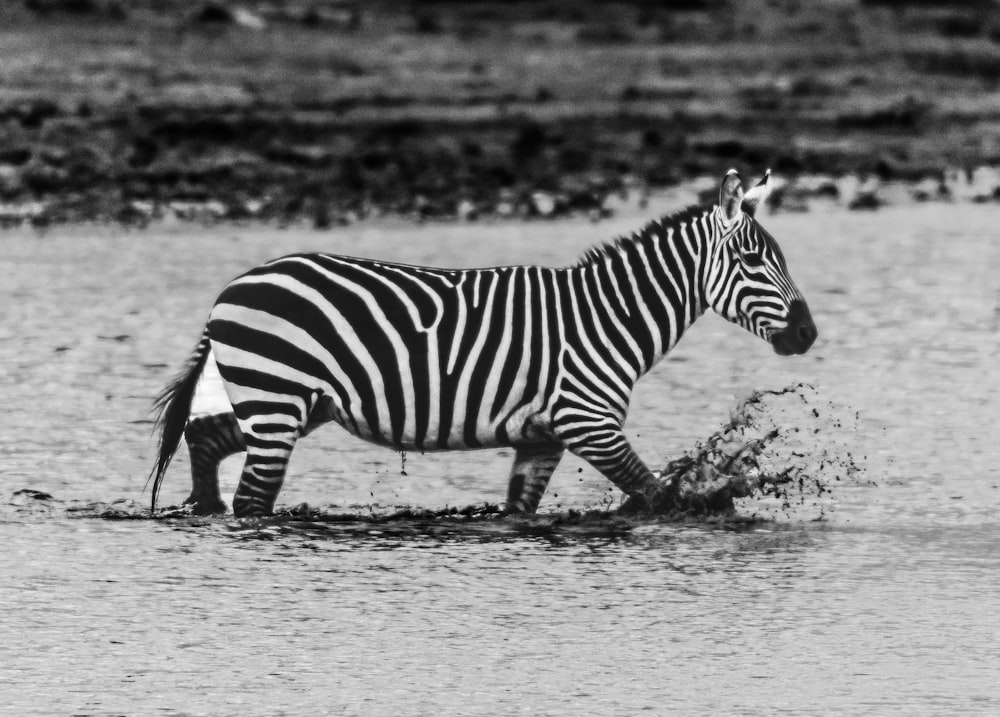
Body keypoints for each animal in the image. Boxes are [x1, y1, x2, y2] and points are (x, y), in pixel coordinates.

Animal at [150, 168, 820, 516]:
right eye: (753, 261)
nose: (808, 333)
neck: (610, 315)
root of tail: (235, 286)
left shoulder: (543, 437)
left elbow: (520, 510)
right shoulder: (588, 423)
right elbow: (656, 493)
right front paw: (702, 508)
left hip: (293, 404)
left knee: (206, 438)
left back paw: (202, 509)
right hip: (279, 397)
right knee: (253, 497)